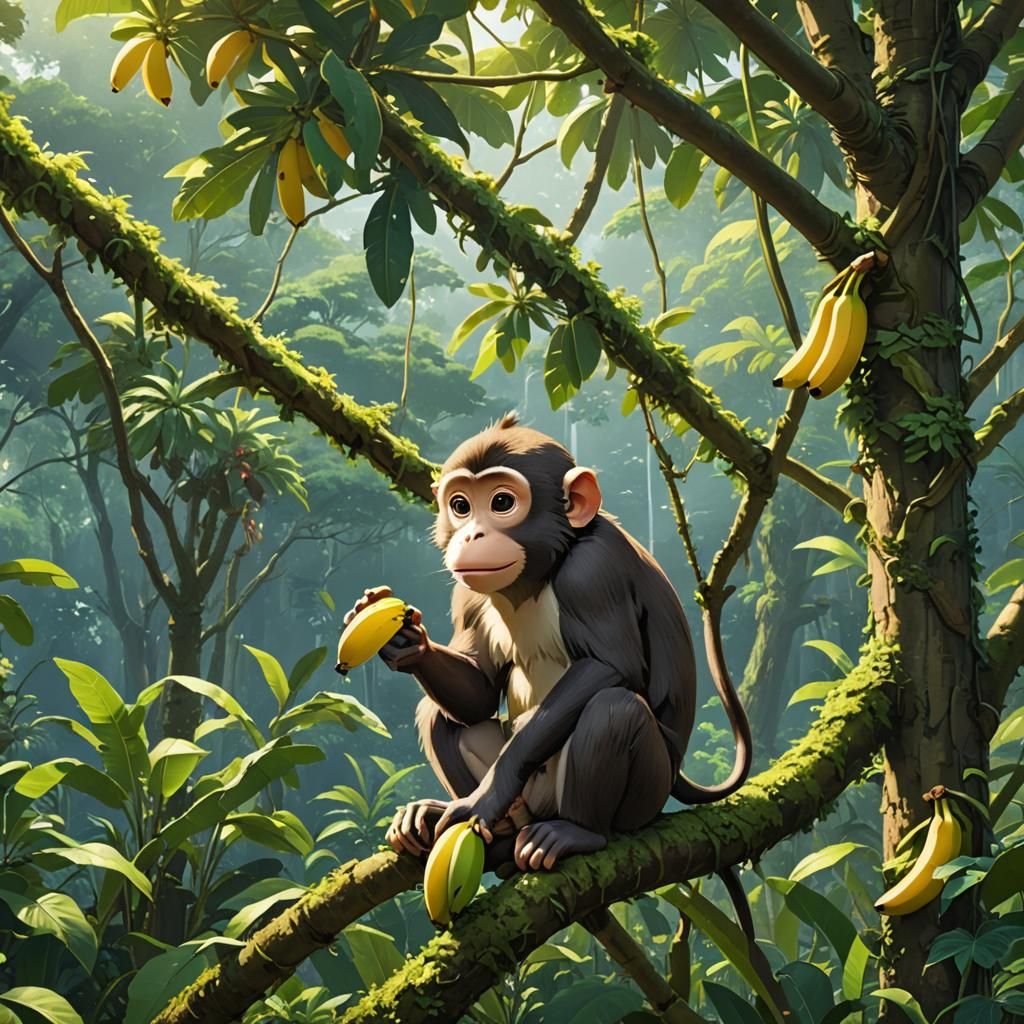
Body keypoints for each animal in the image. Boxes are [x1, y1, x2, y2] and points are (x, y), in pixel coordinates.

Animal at [341, 413, 751, 873]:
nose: (471, 535)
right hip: (533, 801)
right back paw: (496, 839)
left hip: (645, 795)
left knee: (614, 708)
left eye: (501, 503)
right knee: (440, 714)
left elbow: (610, 667)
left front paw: (485, 798)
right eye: (461, 506)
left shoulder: (592, 571)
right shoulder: (466, 595)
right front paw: (404, 640)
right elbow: (479, 696)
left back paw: (576, 832)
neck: (537, 573)